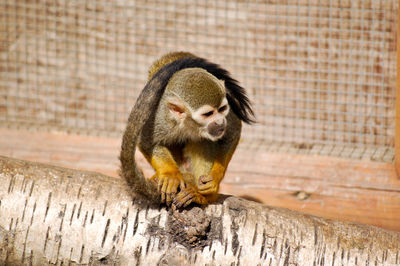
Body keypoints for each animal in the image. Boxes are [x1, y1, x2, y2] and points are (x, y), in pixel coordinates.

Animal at [120, 51, 255, 207]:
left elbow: (233, 133)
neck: (189, 122)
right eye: (208, 114)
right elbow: (147, 142)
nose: (220, 121)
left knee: (203, 141)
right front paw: (170, 175)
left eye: (222, 109)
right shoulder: (161, 116)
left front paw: (215, 177)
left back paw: (203, 196)